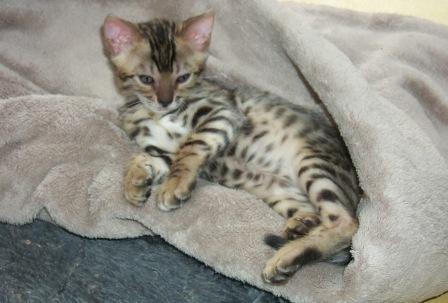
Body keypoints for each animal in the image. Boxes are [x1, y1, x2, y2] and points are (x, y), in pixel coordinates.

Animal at [101, 11, 360, 284]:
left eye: (183, 78)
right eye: (146, 79)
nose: (165, 100)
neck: (154, 113)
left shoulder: (222, 113)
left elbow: (190, 147)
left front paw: (174, 185)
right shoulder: (163, 151)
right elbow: (142, 158)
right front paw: (133, 183)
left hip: (313, 164)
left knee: (346, 223)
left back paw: (288, 256)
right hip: (279, 190)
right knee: (318, 215)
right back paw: (302, 226)